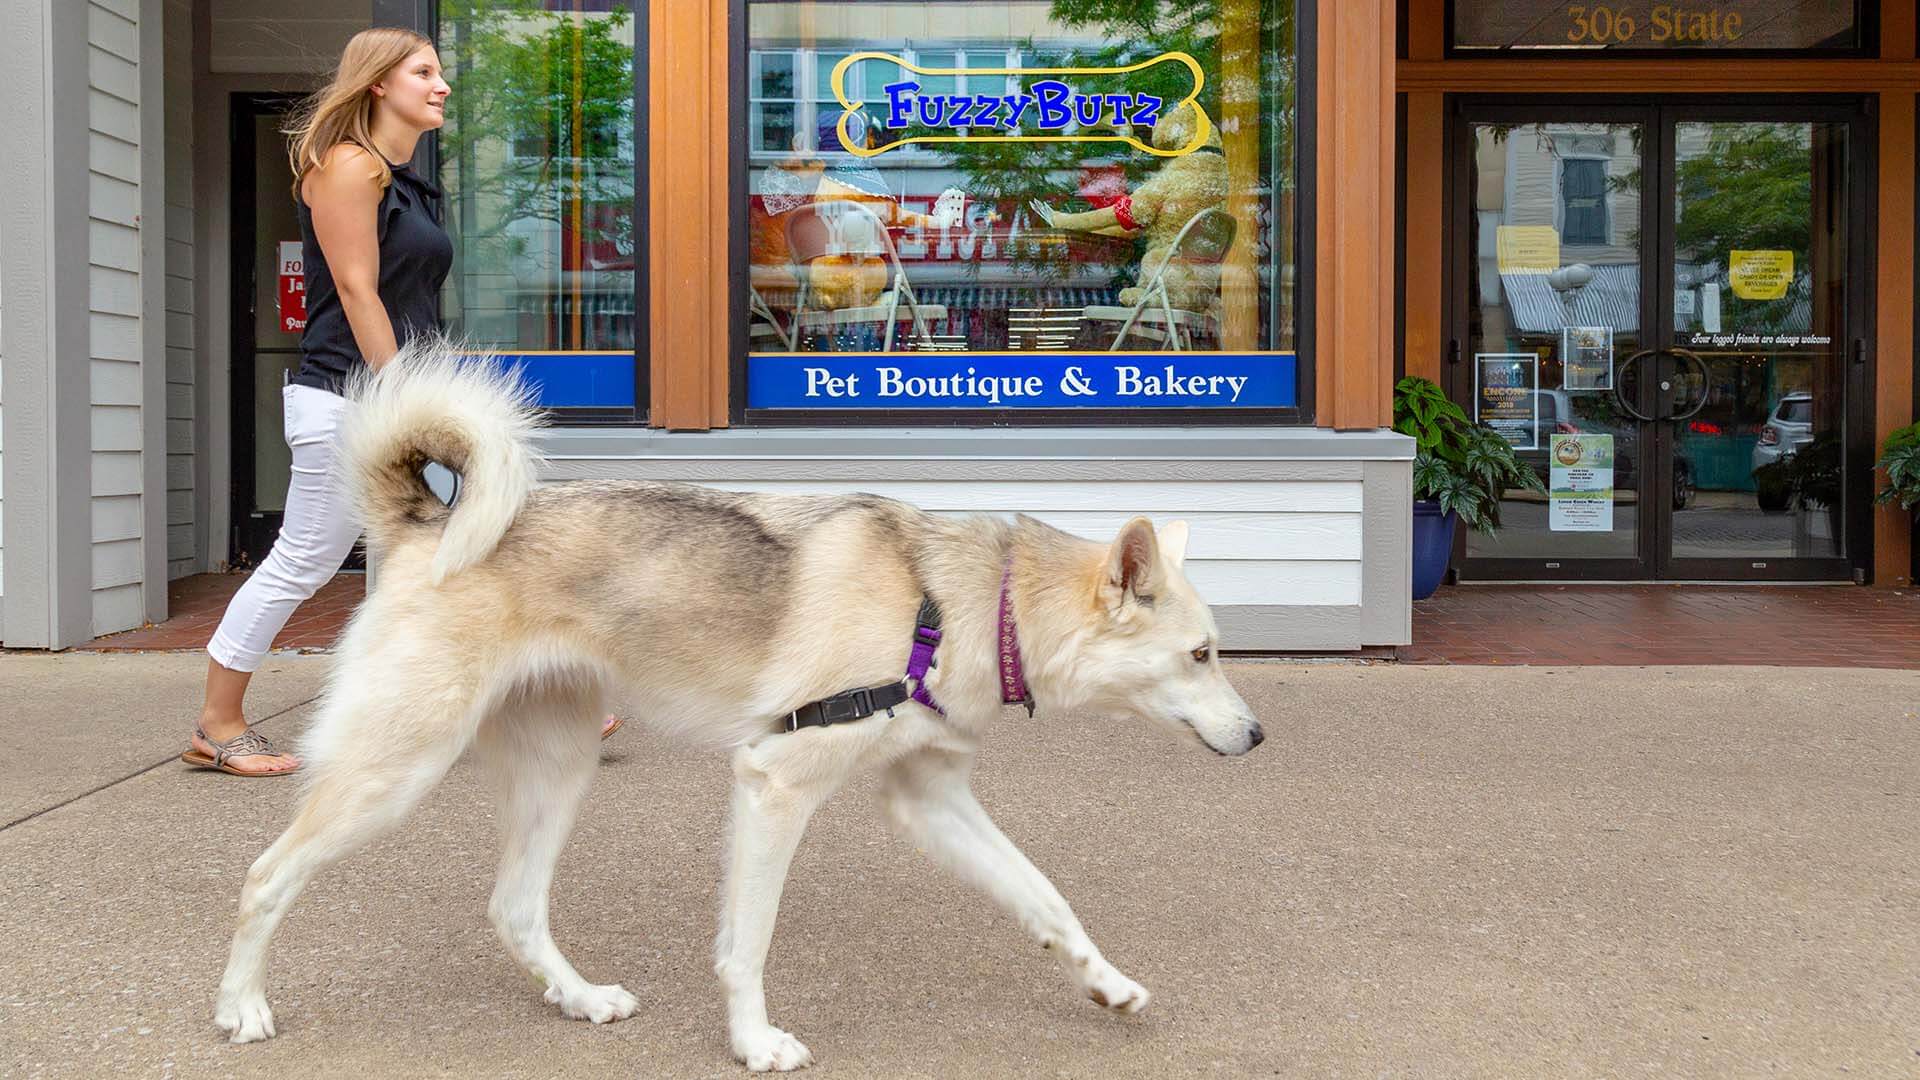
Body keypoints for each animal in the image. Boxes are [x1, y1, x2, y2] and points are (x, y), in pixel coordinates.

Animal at [214, 338, 1259, 1068]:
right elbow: (747, 944)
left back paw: (580, 998)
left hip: (561, 770)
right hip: (397, 770)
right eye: (1201, 654)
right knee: (266, 875)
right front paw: (754, 1043)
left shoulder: (930, 798)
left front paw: (1107, 984)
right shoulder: (774, 785)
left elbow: (1047, 897)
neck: (962, 599)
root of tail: (428, 523)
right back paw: (241, 1006)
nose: (1256, 734)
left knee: (514, 908)